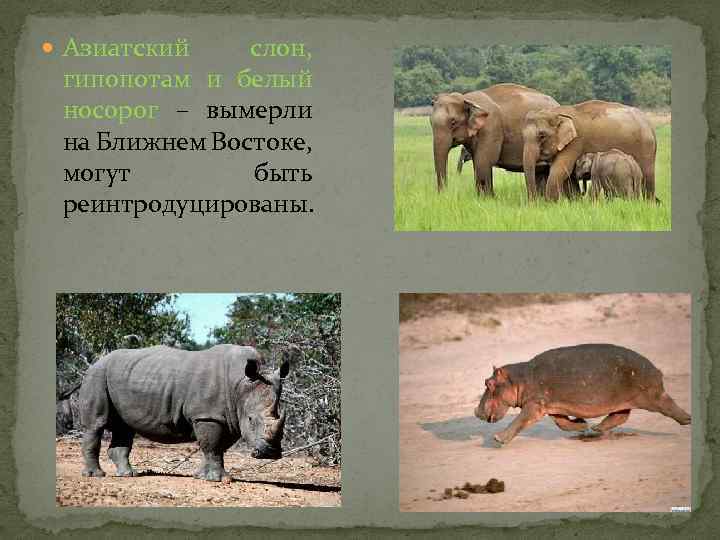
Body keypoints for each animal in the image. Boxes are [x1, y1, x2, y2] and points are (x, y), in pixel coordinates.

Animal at [430, 84, 559, 196]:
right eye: (431, 122)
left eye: (453, 122)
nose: (443, 194)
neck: (466, 98)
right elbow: (477, 162)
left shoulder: (491, 128)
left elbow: (483, 162)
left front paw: (487, 199)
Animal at [522, 100, 657, 201]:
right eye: (523, 136)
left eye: (542, 136)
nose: (533, 204)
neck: (557, 112)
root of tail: (650, 125)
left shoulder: (575, 143)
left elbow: (559, 170)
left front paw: (550, 205)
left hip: (646, 148)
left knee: (647, 178)